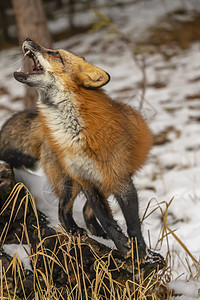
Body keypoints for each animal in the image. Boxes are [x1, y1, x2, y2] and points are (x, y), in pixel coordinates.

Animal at [0, 38, 152, 258]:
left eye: (55, 54)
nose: (28, 39)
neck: (75, 133)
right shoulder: (85, 179)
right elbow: (105, 218)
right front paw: (124, 246)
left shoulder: (120, 180)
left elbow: (132, 224)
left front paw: (139, 252)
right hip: (68, 182)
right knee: (64, 210)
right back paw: (75, 231)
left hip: (99, 183)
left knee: (85, 212)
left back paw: (97, 235)